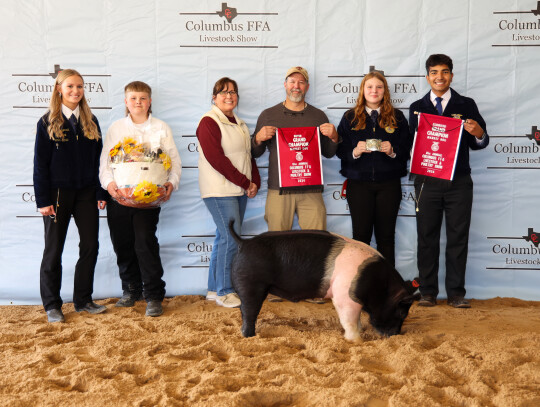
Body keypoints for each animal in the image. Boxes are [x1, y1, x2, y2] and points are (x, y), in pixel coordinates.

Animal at [230, 225, 420, 342]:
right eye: (402, 313)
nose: (395, 335)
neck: (380, 285)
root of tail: (244, 242)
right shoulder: (344, 296)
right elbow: (349, 319)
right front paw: (357, 341)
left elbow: (357, 319)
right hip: (250, 284)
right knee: (249, 311)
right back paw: (249, 336)